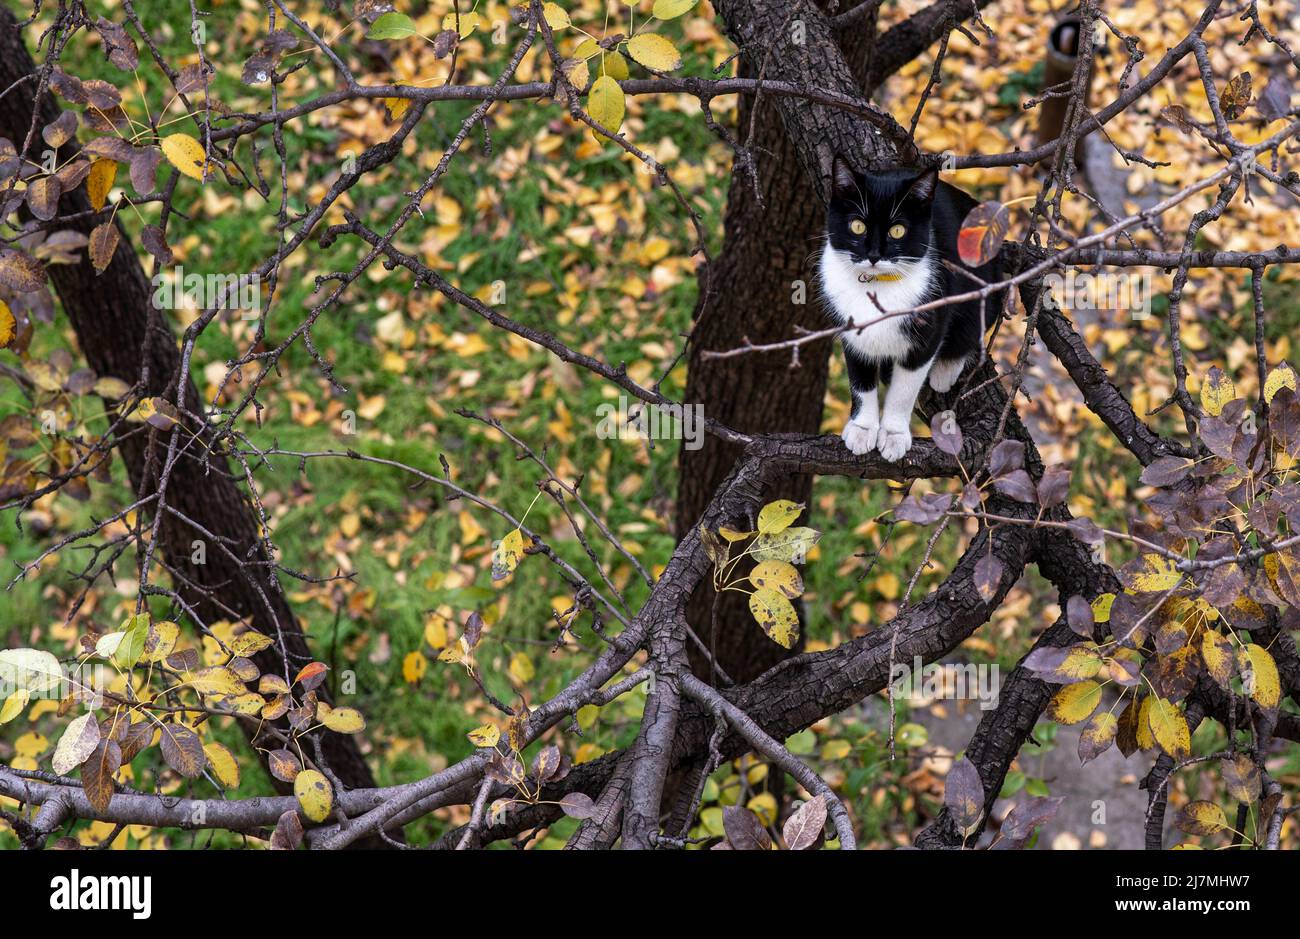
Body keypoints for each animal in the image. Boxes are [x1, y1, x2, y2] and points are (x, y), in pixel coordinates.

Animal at [821, 159, 993, 462]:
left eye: (898, 230)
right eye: (857, 226)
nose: (874, 255)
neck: (877, 284)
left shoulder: (931, 315)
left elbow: (905, 388)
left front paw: (893, 435)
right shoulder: (850, 329)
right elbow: (860, 379)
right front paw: (862, 429)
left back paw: (944, 372)